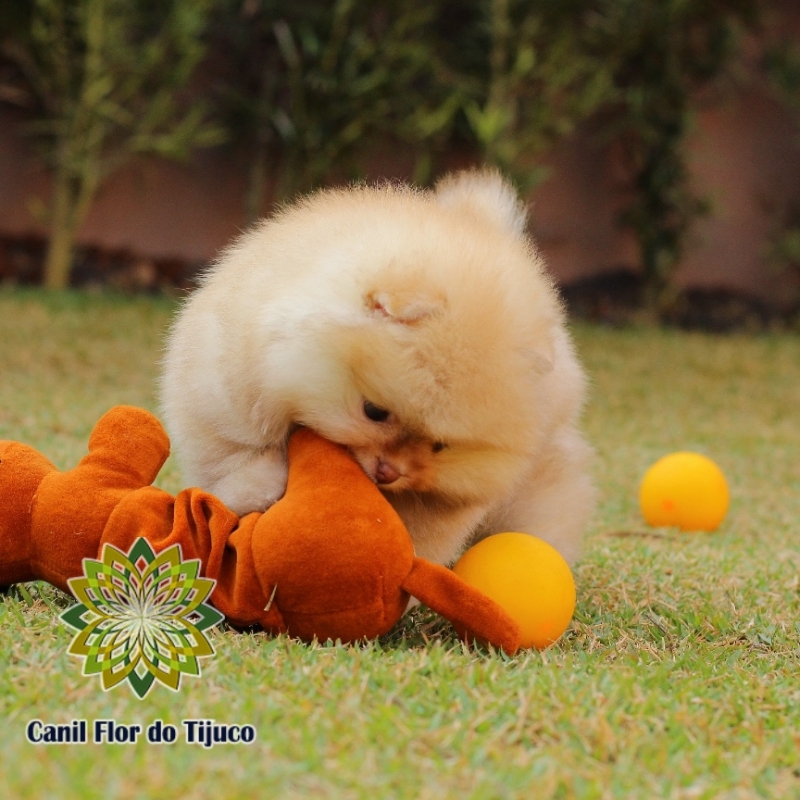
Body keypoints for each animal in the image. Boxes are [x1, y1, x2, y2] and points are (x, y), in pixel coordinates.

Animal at [159, 170, 592, 564]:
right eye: (374, 412)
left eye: (440, 447)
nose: (388, 472)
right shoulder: (226, 402)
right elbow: (237, 459)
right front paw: (263, 486)